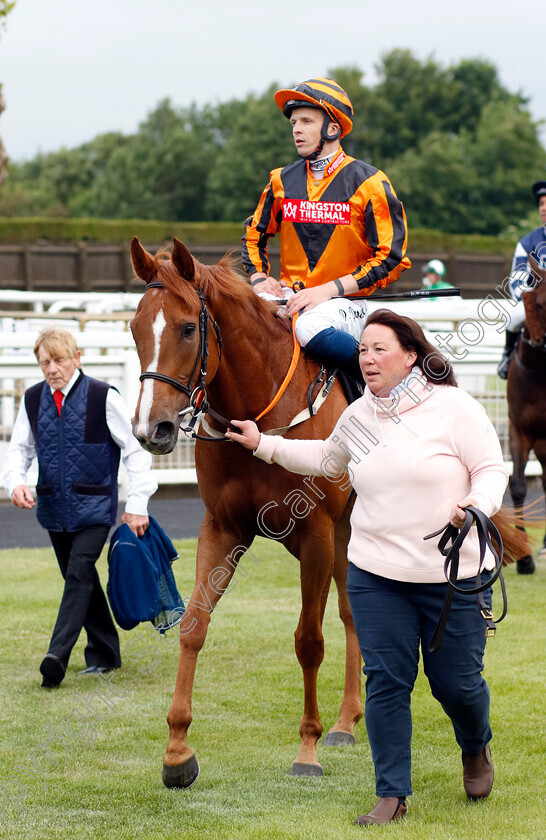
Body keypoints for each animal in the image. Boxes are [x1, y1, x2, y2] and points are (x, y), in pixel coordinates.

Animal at [128, 238, 362, 788]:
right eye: (134, 327)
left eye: (188, 328)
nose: (153, 429)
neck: (259, 409)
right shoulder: (223, 527)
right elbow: (193, 625)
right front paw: (177, 751)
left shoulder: (317, 532)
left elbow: (309, 640)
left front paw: (306, 749)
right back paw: (346, 720)